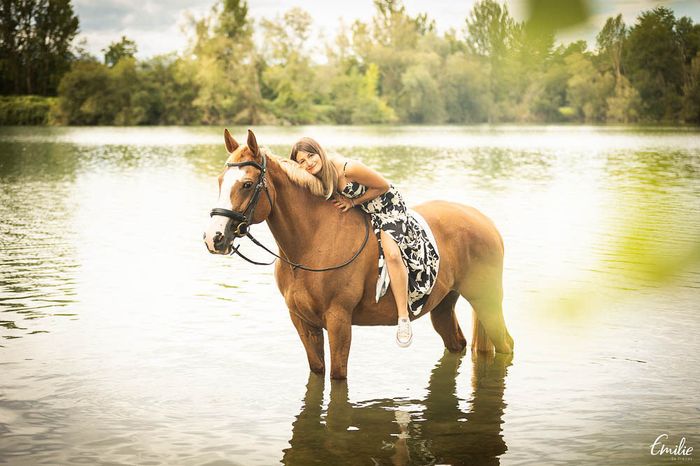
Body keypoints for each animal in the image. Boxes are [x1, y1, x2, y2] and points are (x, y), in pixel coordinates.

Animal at [202, 129, 516, 380]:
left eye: (246, 184)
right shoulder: (302, 322)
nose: (214, 238)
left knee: (506, 345)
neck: (314, 241)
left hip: (487, 302)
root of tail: (484, 221)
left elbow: (337, 377)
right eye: (219, 180)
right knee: (458, 344)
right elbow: (318, 371)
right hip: (443, 305)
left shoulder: (339, 321)